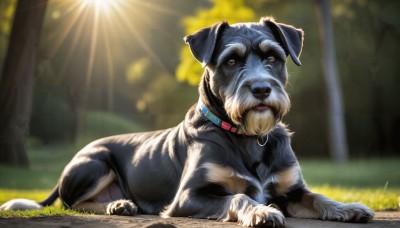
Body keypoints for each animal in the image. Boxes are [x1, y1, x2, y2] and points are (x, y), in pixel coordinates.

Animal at [0, 17, 376, 226]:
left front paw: (348, 207)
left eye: (273, 57)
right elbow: (238, 198)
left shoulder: (292, 189)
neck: (246, 136)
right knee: (73, 202)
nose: (261, 89)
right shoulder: (188, 197)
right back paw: (118, 204)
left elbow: (319, 198)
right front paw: (261, 212)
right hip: (96, 162)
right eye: (231, 60)